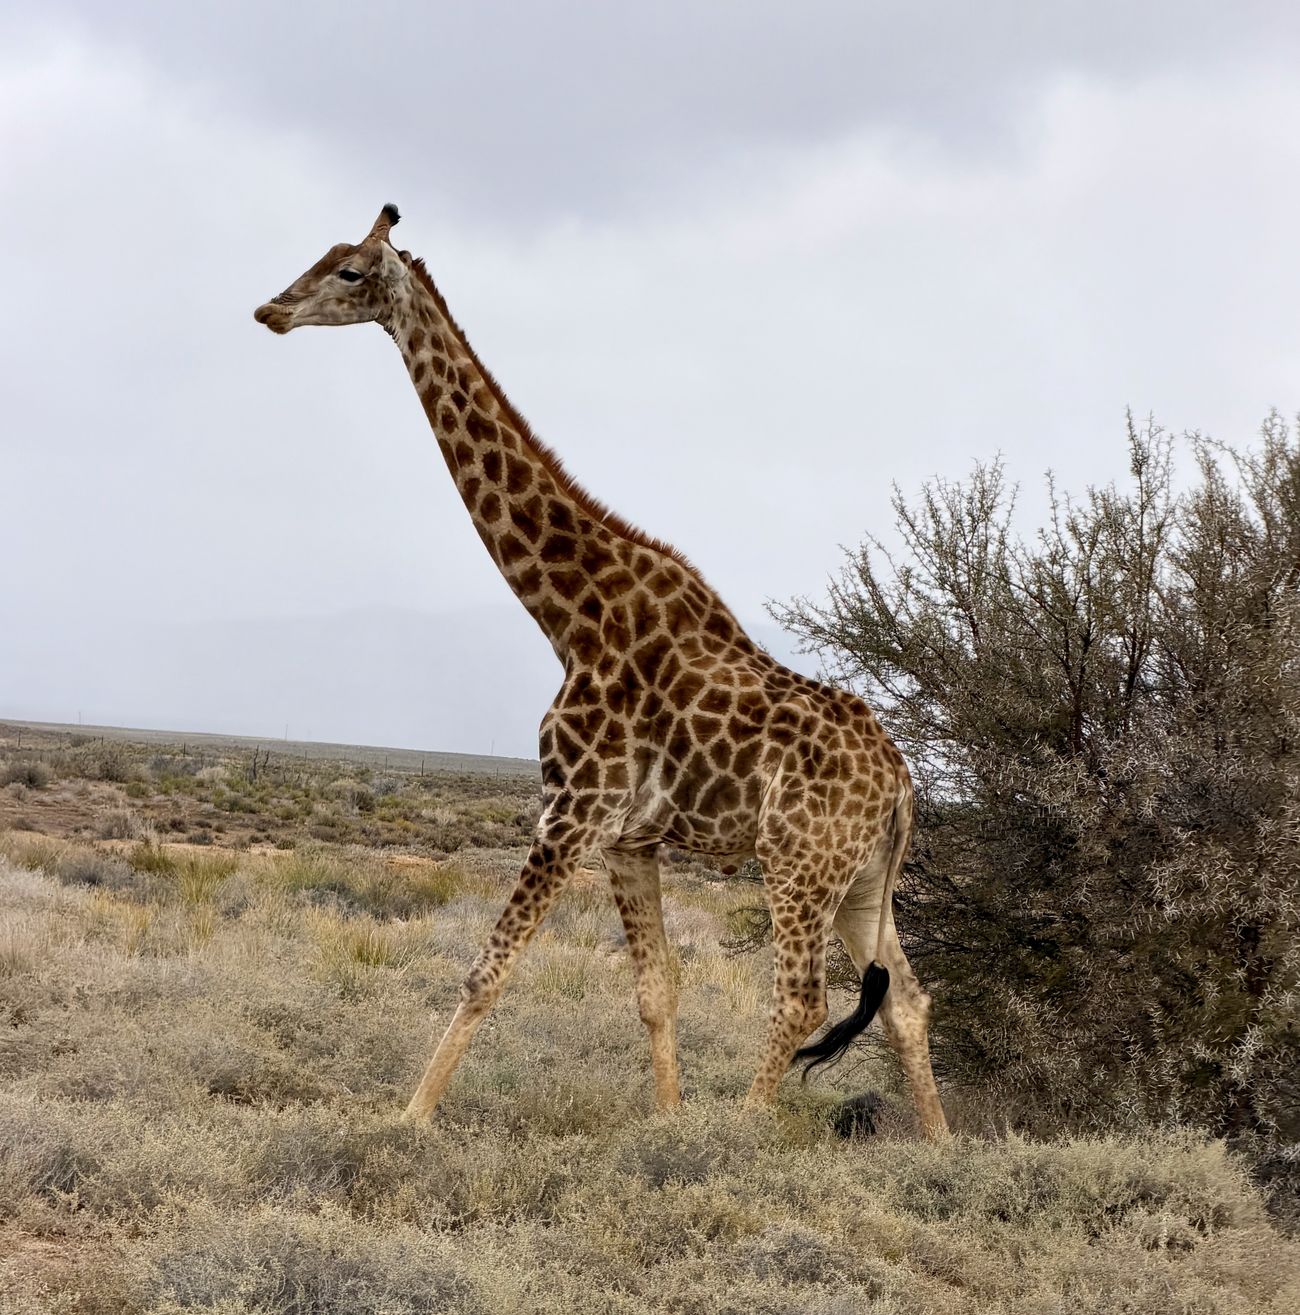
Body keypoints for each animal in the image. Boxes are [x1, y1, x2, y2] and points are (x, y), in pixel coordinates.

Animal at [254, 205, 948, 1139]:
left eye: (352, 272)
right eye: (323, 258)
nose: (272, 310)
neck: (569, 617)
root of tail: (904, 784)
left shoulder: (570, 811)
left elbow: (487, 971)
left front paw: (409, 1119)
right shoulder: (629, 837)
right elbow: (657, 988)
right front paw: (666, 1120)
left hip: (798, 863)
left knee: (803, 998)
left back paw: (741, 1128)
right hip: (862, 879)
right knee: (906, 998)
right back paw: (939, 1149)